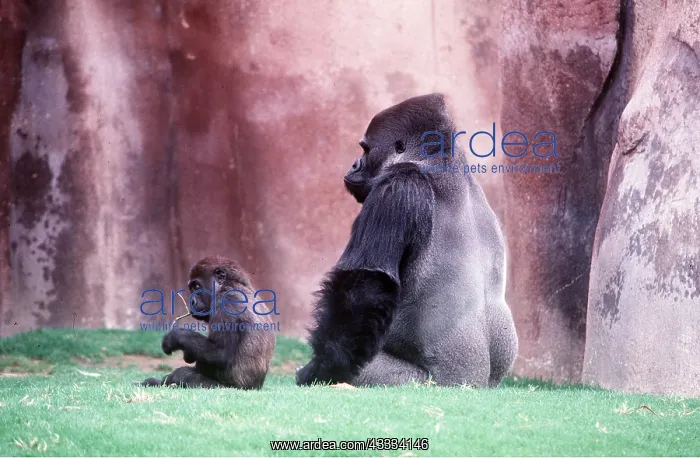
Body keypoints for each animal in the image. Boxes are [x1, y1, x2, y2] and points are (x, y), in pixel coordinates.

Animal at [138, 256, 276, 389]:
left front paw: (175, 337)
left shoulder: (227, 302)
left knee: (182, 375)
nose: (192, 301)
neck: (230, 285)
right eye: (191, 288)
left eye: (197, 287)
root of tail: (257, 387)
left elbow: (220, 353)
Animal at [296, 93, 518, 388]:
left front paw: (321, 367)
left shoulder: (397, 185)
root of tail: (473, 384)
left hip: (424, 383)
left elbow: (367, 284)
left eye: (365, 150)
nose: (354, 164)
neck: (440, 162)